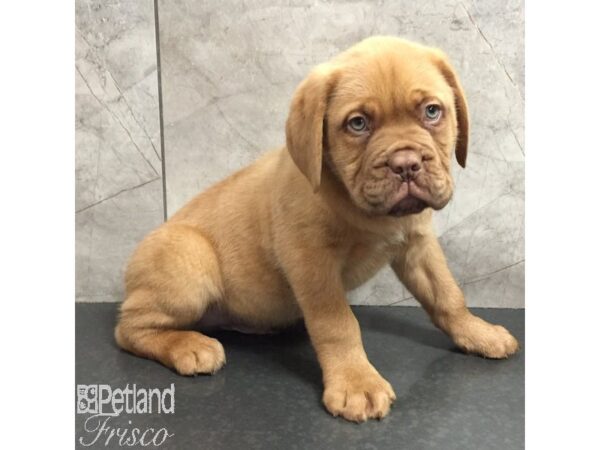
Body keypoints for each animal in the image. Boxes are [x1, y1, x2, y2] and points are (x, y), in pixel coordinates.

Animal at [115, 37, 516, 424]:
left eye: (432, 111)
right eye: (358, 123)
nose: (405, 164)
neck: (367, 211)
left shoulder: (417, 245)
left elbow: (447, 294)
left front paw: (476, 333)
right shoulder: (310, 261)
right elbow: (337, 324)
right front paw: (356, 382)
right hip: (190, 261)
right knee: (128, 328)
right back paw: (188, 346)